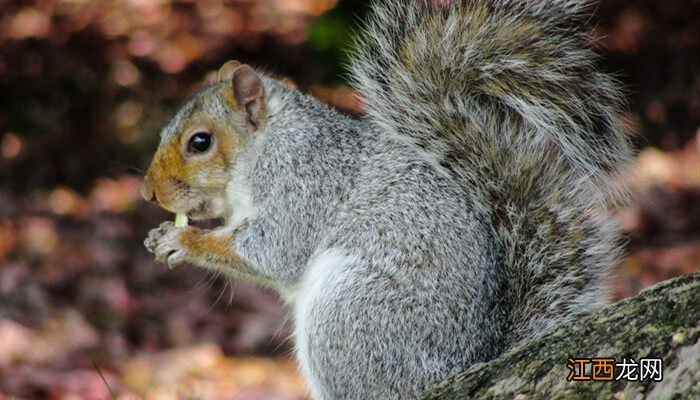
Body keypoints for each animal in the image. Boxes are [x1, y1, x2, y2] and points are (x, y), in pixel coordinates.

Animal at [139, 0, 632, 396]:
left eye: (200, 142)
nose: (148, 191)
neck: (267, 145)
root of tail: (466, 362)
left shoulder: (303, 182)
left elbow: (275, 252)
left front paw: (181, 241)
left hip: (350, 315)